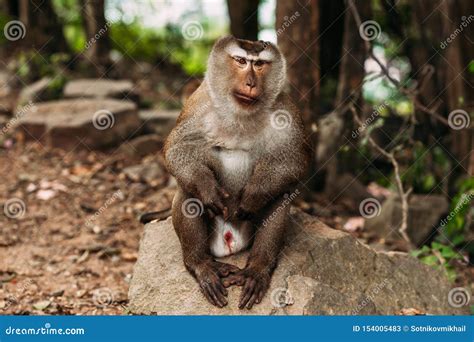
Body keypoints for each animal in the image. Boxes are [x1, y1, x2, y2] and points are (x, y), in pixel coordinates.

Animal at [162, 35, 312, 310]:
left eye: (260, 64)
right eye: (241, 61)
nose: (251, 83)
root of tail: (229, 243)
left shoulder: (287, 109)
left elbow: (295, 159)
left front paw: (252, 196)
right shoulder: (198, 103)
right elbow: (179, 148)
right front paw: (207, 189)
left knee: (279, 196)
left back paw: (257, 268)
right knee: (187, 190)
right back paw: (201, 265)